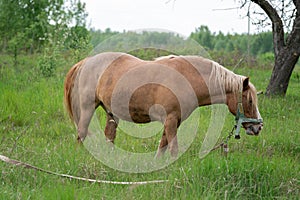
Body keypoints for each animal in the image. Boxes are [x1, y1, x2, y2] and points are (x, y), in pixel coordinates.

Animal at [63, 52, 262, 158]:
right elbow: (173, 148)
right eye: (250, 100)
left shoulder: (172, 121)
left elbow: (163, 145)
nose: (258, 127)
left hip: (111, 113)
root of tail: (86, 62)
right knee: (81, 133)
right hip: (88, 107)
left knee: (109, 136)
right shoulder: (171, 119)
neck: (187, 78)